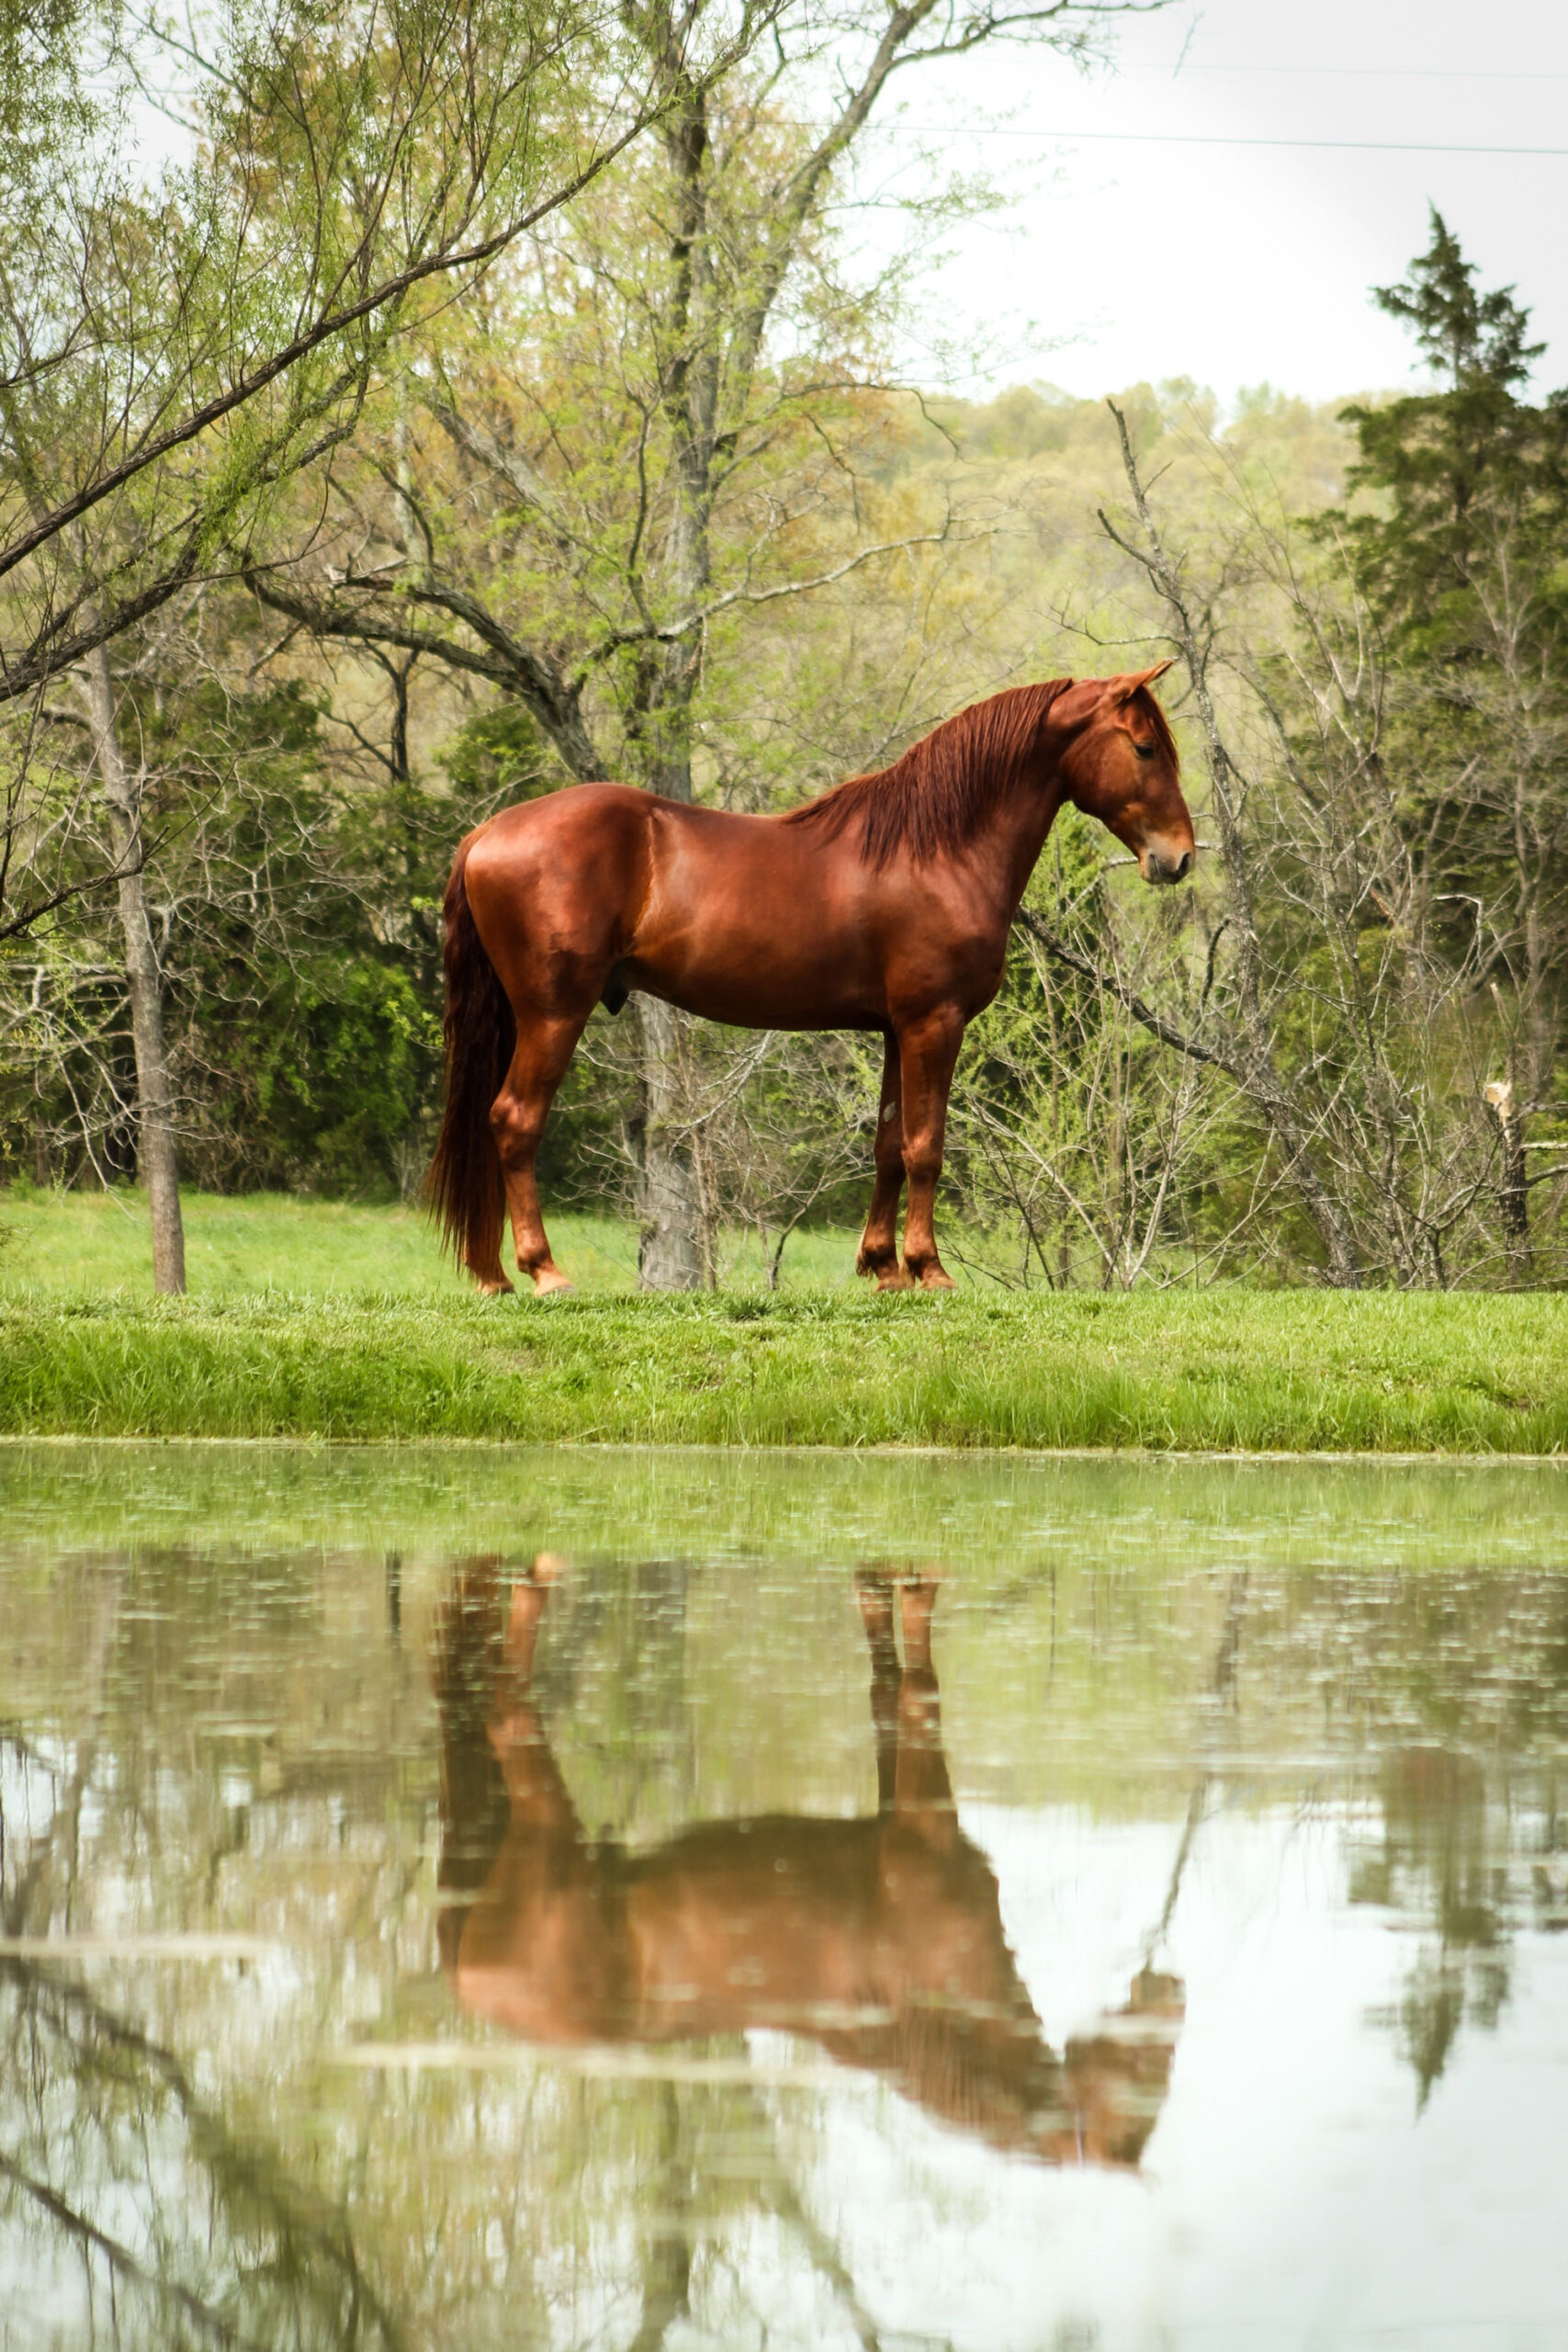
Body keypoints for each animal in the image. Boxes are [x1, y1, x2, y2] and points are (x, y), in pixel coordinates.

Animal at [428, 665, 1195, 1293]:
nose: (1179, 858)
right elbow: (926, 1147)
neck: (935, 849)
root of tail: (488, 832)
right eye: (1144, 748)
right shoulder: (934, 1022)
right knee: (515, 1121)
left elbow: (889, 1147)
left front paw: (883, 1267)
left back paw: (493, 1275)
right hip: (553, 1013)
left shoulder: (896, 1030)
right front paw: (929, 1269)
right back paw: (542, 1270)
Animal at [434, 1558, 1184, 2167]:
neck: (926, 2023)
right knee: (509, 1701)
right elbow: (920, 1691)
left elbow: (888, 1693)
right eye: (1146, 2078)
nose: (1173, 1994)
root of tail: (470, 1984)